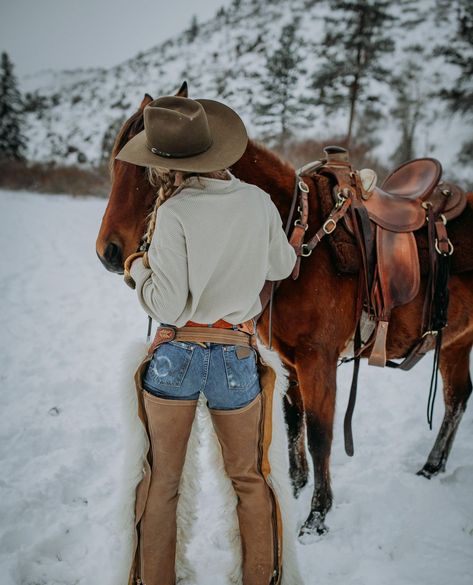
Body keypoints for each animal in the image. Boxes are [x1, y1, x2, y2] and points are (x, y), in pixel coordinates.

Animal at [96, 86, 472, 540]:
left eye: (148, 174)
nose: (109, 252)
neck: (298, 240)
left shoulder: (317, 361)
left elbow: (320, 434)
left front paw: (316, 518)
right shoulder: (291, 360)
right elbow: (293, 421)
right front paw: (294, 489)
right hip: (455, 340)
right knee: (457, 398)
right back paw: (432, 466)